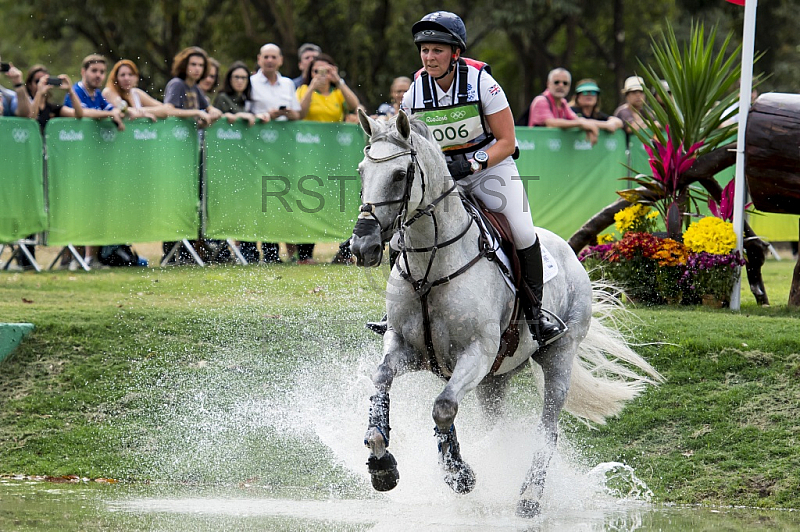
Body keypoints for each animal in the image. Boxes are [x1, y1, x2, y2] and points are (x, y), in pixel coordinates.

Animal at [350, 110, 664, 516]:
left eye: (400, 174)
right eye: (361, 172)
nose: (363, 245)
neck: (431, 267)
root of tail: (569, 251)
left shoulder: (477, 352)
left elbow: (443, 407)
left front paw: (460, 475)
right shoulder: (405, 345)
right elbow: (382, 382)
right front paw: (382, 463)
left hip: (557, 357)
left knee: (548, 430)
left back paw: (529, 497)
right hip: (495, 379)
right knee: (496, 423)